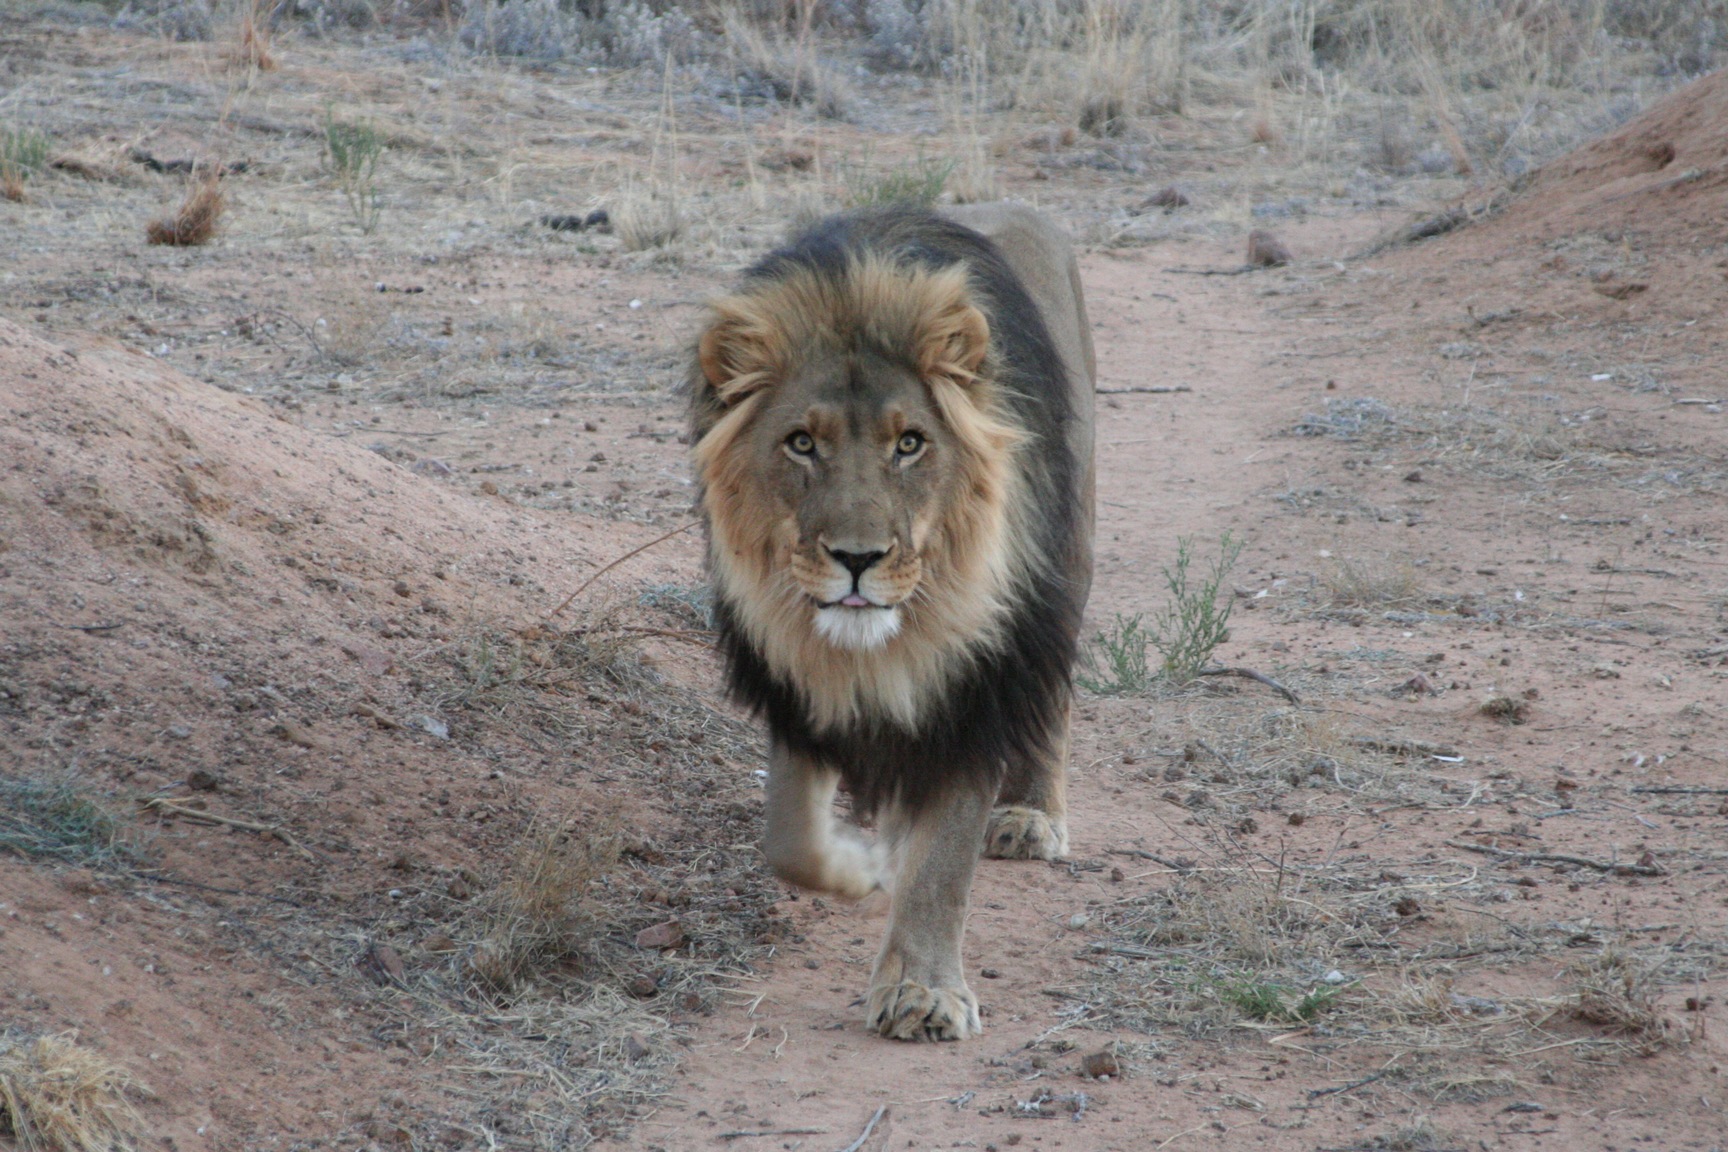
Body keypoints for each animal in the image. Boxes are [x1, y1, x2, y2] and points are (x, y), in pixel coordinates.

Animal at [687, 202, 1092, 1043]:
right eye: (801, 443)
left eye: (910, 444)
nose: (858, 559)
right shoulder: (789, 673)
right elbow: (790, 840)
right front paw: (857, 868)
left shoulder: (975, 687)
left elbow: (944, 860)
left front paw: (922, 992)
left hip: (1069, 562)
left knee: (1054, 700)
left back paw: (1031, 815)